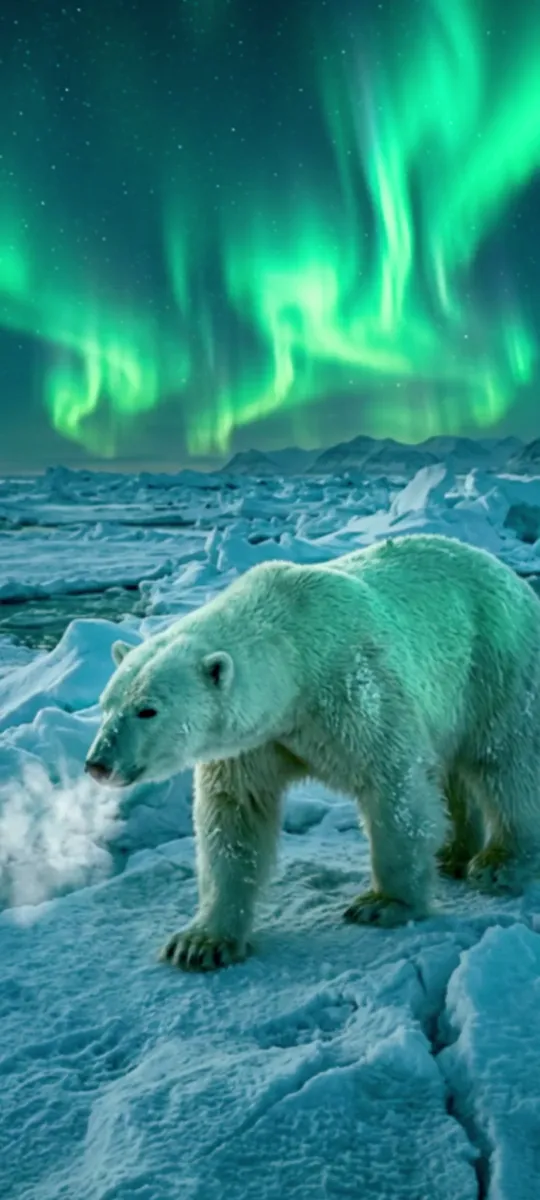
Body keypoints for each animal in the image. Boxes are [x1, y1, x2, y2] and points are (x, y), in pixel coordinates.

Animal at [85, 533, 540, 971]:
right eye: (106, 704)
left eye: (148, 709)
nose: (98, 764)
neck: (293, 658)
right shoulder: (254, 741)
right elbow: (234, 816)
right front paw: (200, 943)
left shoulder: (353, 690)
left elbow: (393, 784)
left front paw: (383, 904)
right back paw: (452, 853)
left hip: (494, 665)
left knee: (506, 762)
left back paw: (499, 862)